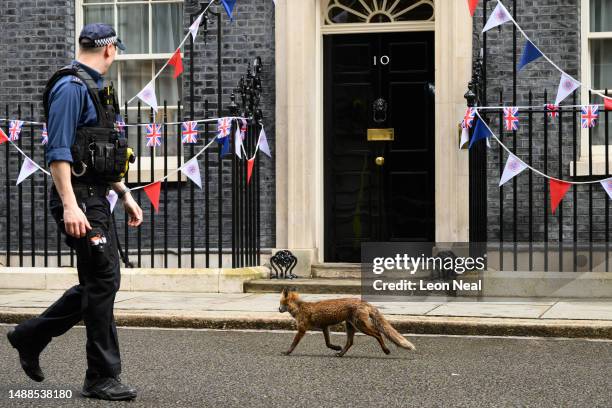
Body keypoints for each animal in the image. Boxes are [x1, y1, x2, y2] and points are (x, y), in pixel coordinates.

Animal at [278, 286, 416, 356]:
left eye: (280, 303)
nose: (278, 309)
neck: (299, 308)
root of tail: (363, 302)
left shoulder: (302, 329)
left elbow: (293, 343)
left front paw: (287, 352)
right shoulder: (324, 327)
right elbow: (328, 343)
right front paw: (336, 347)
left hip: (361, 326)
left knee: (378, 333)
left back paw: (386, 350)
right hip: (350, 326)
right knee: (350, 342)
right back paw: (341, 353)